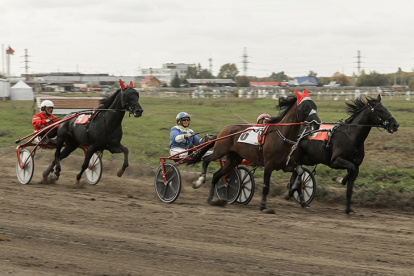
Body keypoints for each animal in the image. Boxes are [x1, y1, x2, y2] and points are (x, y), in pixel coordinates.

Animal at [189, 89, 322, 212]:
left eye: (315, 106)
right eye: (304, 107)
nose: (317, 123)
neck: (280, 136)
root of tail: (224, 130)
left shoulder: (285, 164)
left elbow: (299, 172)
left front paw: (293, 195)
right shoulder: (269, 164)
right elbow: (266, 186)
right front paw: (263, 207)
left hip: (233, 160)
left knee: (216, 175)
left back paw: (210, 199)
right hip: (220, 151)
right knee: (206, 159)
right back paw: (199, 181)